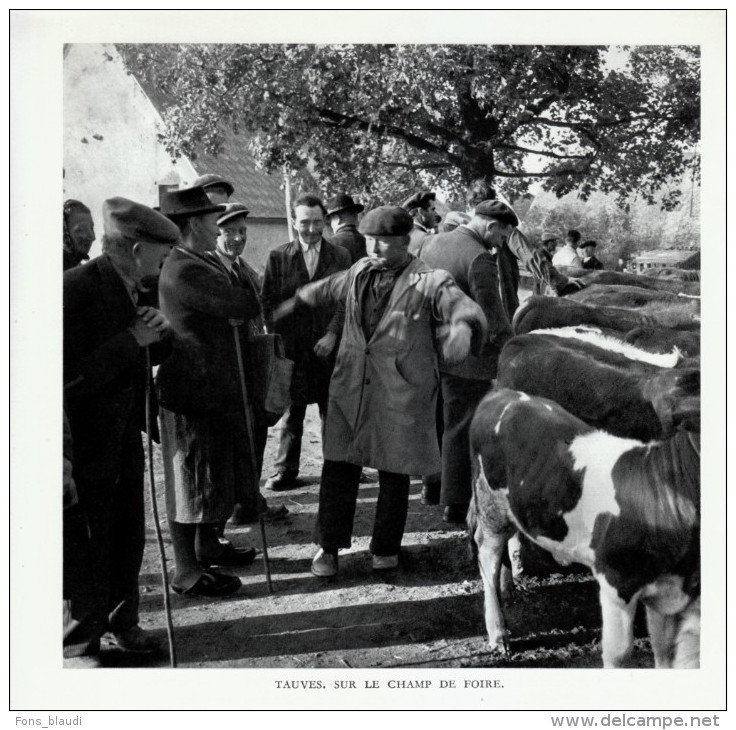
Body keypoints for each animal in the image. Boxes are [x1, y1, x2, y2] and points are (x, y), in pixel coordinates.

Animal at [468, 386, 700, 664]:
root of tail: (501, 393)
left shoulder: (669, 592)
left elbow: (665, 655)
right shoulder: (615, 581)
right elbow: (619, 653)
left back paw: (508, 587)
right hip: (491, 506)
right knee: (487, 557)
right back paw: (498, 632)